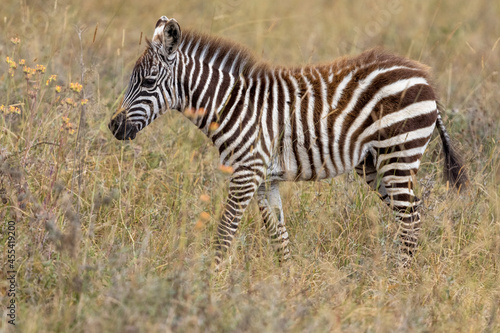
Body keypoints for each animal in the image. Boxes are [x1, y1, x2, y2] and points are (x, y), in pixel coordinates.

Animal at [109, 16, 468, 268]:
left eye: (149, 82)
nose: (114, 127)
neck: (232, 105)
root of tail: (424, 77)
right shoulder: (265, 179)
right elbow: (277, 234)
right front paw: (288, 281)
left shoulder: (246, 173)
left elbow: (225, 231)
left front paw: (210, 283)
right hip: (373, 165)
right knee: (412, 213)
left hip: (398, 153)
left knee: (410, 218)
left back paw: (399, 280)